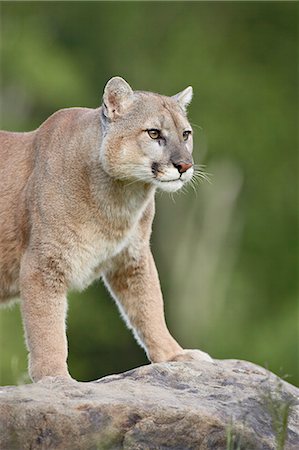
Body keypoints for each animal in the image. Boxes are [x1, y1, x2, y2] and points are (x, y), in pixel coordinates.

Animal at [0, 76, 212, 380]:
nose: (184, 165)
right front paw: (56, 378)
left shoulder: (132, 259)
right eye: (153, 133)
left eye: (185, 134)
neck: (121, 197)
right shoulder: (43, 265)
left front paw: (174, 355)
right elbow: (48, 330)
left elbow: (149, 308)